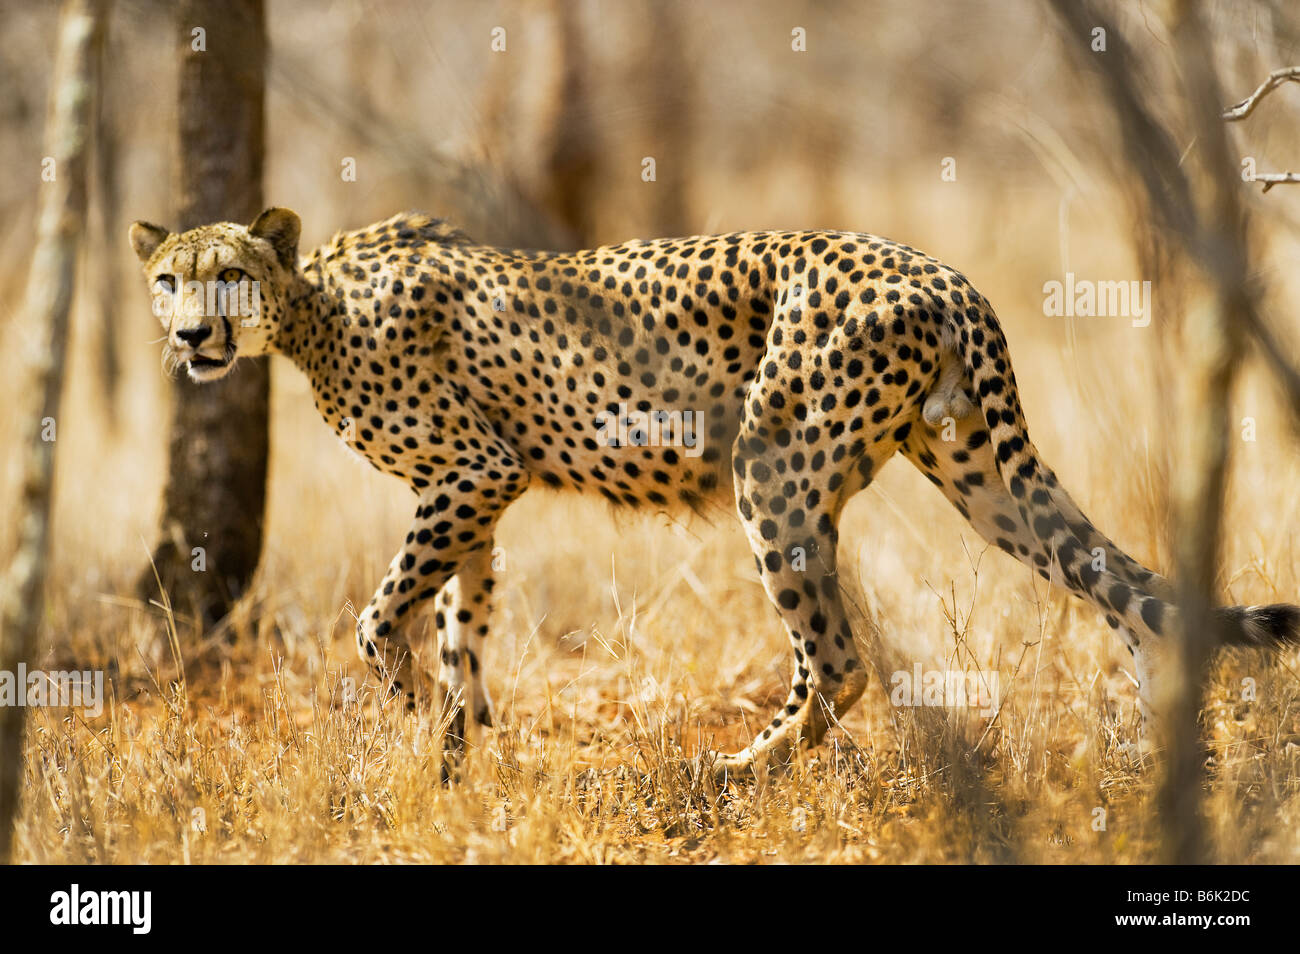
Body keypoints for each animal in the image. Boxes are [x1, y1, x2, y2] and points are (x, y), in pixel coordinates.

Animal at [131, 207, 1300, 779]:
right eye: (167, 278)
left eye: (227, 274)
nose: (188, 336)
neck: (308, 306)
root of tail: (938, 270)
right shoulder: (478, 494)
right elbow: (464, 619)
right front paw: (460, 745)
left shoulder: (475, 472)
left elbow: (379, 617)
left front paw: (418, 709)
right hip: (970, 469)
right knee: (1109, 580)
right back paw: (1159, 744)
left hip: (771, 467)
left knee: (837, 660)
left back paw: (738, 773)